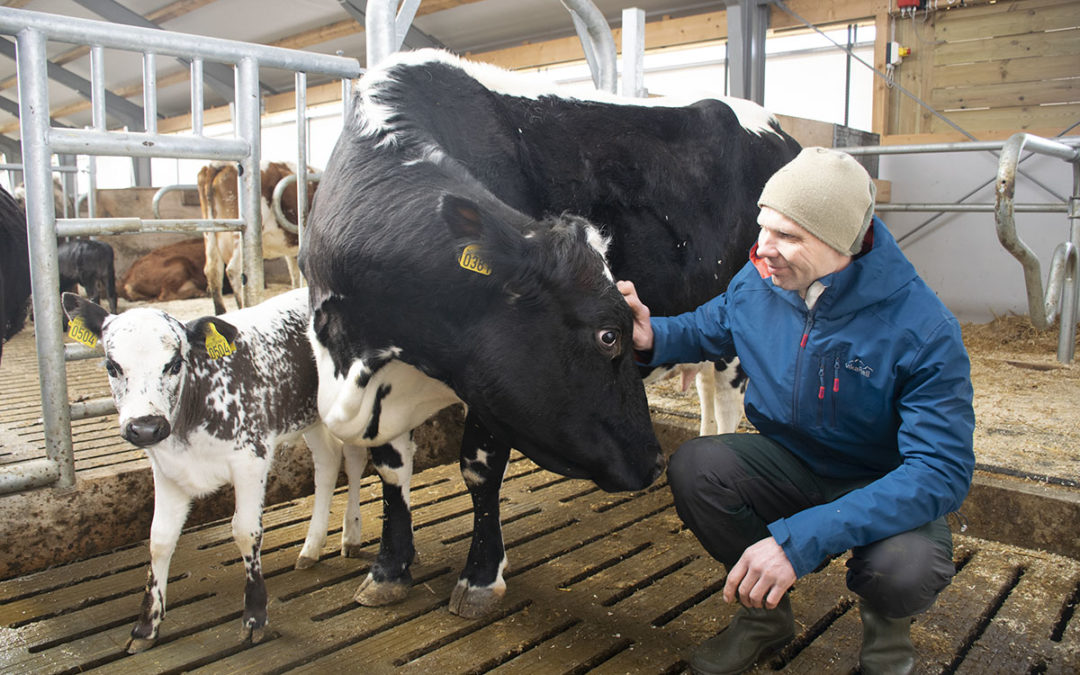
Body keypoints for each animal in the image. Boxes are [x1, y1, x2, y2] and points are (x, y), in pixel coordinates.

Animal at [61, 289, 369, 652]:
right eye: (112, 365)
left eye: (174, 363)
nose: (146, 427)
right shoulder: (166, 468)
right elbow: (159, 539)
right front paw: (146, 626)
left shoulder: (251, 456)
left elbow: (245, 531)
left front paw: (254, 618)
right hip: (310, 416)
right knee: (327, 461)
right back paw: (312, 547)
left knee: (353, 459)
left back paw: (351, 535)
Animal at [300, 46, 799, 617]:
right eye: (608, 335)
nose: (652, 461)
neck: (362, 361)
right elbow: (390, 469)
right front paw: (388, 569)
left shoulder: (488, 385)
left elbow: (478, 470)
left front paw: (480, 578)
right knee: (709, 394)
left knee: (729, 397)